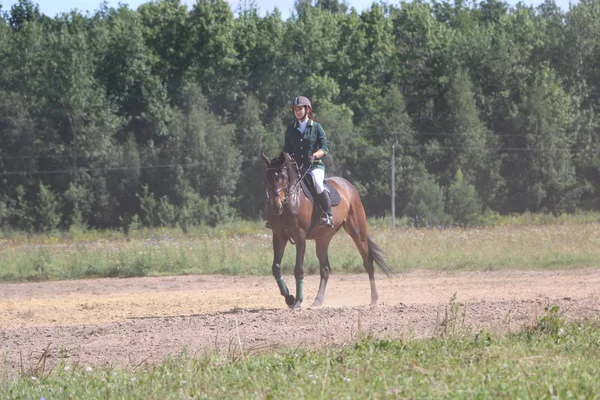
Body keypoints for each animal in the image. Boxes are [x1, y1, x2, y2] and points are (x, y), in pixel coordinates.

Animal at [262, 150, 394, 310]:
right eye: (267, 177)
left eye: (283, 177)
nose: (276, 206)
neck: (290, 202)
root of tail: (348, 186)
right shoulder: (279, 237)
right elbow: (276, 268)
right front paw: (289, 298)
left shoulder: (300, 238)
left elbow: (298, 269)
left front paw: (298, 301)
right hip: (323, 239)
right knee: (325, 269)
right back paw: (318, 300)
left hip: (358, 232)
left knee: (368, 263)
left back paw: (374, 298)